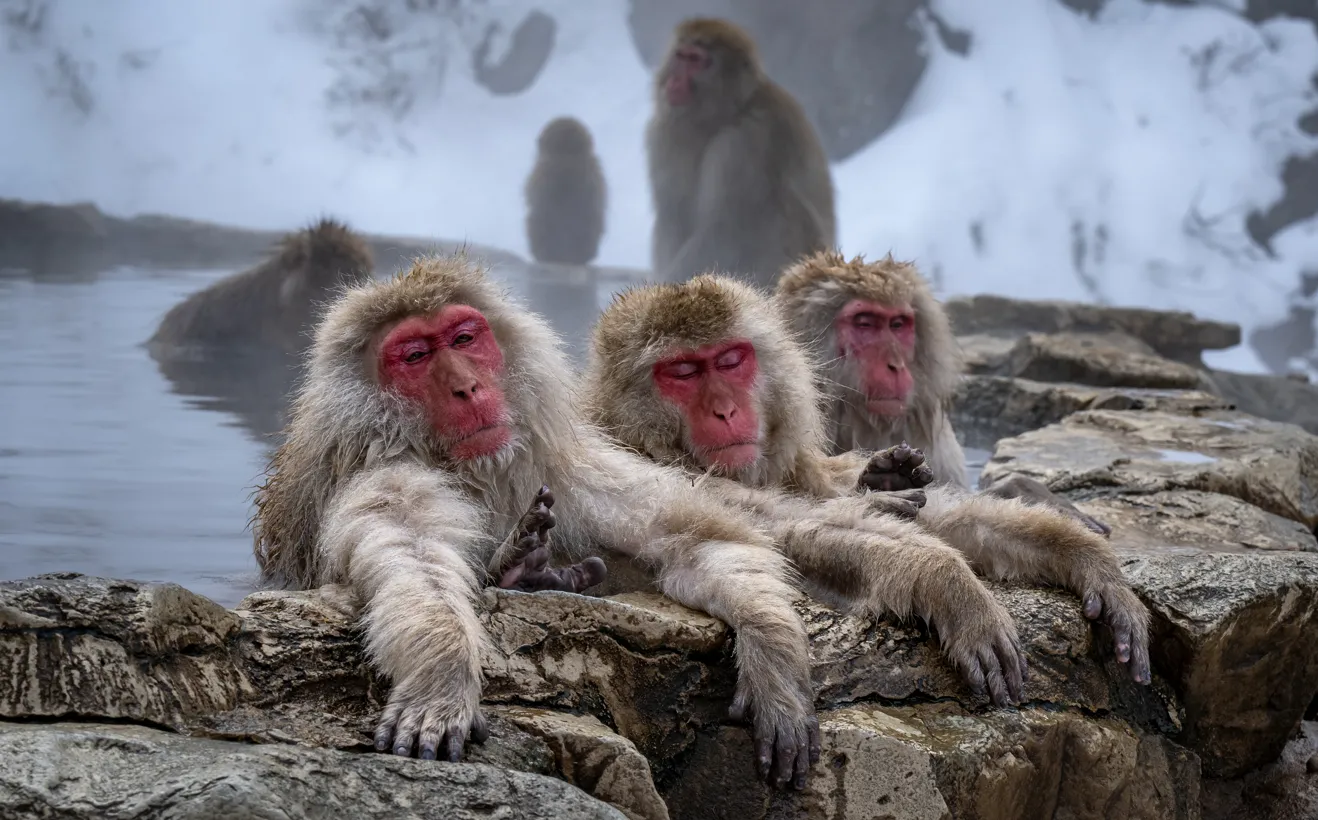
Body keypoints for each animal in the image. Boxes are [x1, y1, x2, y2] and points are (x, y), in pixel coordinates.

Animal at [252, 255, 822, 790]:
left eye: (464, 338)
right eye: (414, 356)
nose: (467, 386)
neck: (476, 472)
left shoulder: (562, 466)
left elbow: (699, 537)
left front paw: (773, 653)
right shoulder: (383, 472)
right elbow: (414, 559)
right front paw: (442, 672)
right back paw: (520, 567)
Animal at [585, 274, 1151, 687]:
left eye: (729, 361)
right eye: (682, 372)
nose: (725, 410)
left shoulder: (801, 471)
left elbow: (948, 518)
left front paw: (1087, 558)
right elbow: (770, 537)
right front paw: (950, 585)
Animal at [645, 18, 836, 288]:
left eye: (695, 60)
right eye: (680, 56)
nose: (674, 81)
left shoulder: (745, 143)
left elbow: (724, 229)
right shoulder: (663, 134)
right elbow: (671, 217)